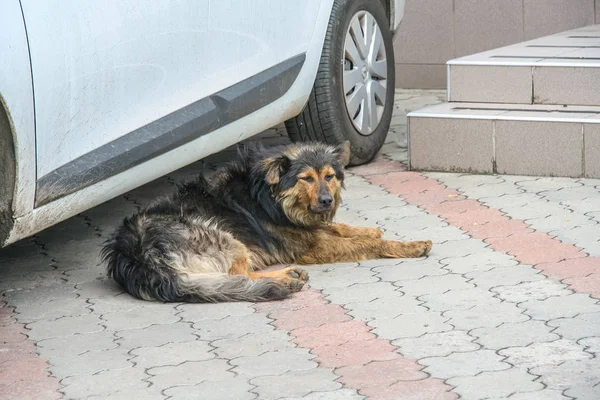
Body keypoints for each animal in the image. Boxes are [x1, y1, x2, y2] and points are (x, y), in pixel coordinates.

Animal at [102, 140, 432, 300]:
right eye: (306, 178)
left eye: (329, 176)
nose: (326, 201)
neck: (273, 197)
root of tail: (133, 256)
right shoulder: (313, 248)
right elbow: (365, 244)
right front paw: (409, 245)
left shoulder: (313, 225)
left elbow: (340, 227)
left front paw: (368, 230)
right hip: (225, 238)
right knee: (239, 276)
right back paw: (285, 278)